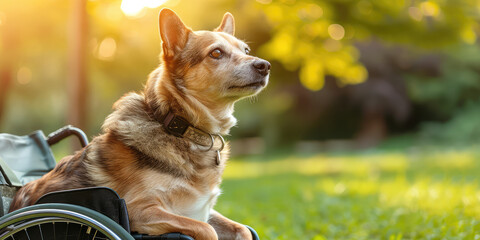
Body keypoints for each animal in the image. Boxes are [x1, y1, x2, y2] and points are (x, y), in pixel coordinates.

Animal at [9, 7, 268, 240]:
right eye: (216, 53)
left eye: (246, 50)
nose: (264, 65)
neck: (180, 127)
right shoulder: (139, 210)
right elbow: (206, 230)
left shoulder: (200, 209)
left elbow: (243, 230)